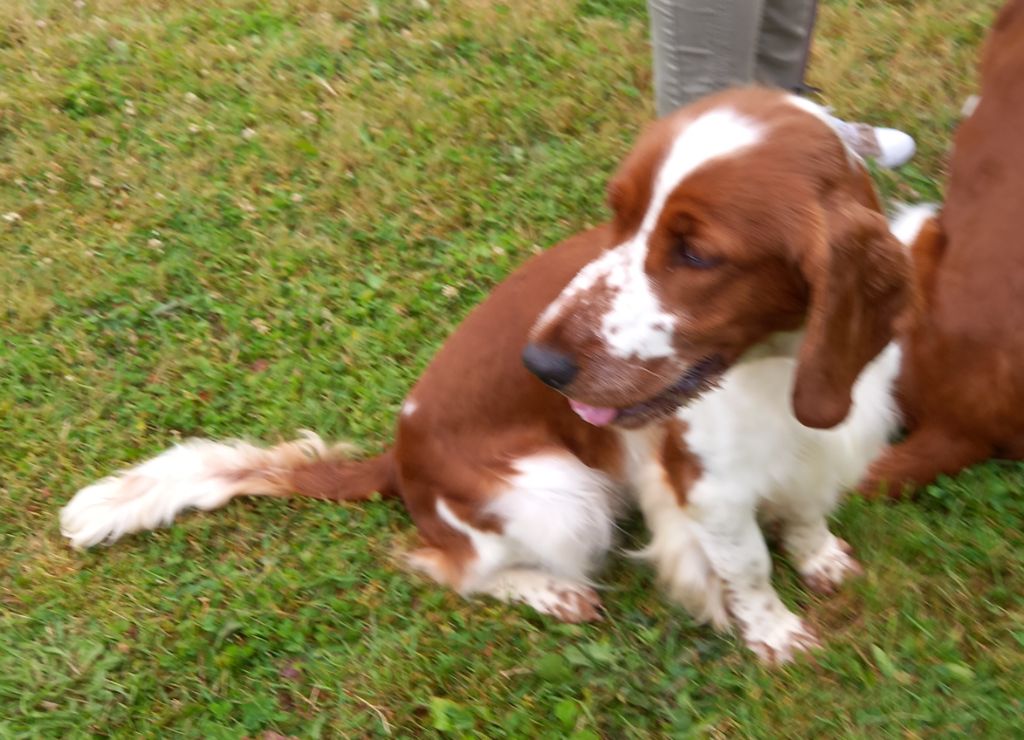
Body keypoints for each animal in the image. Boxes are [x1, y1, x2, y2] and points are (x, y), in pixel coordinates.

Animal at [61, 89, 913, 663]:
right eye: (617, 214)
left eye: (697, 253)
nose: (542, 366)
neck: (773, 366)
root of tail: (398, 458)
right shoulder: (706, 489)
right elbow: (749, 568)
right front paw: (777, 636)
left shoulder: (827, 438)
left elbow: (805, 515)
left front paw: (821, 559)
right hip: (565, 497)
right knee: (450, 565)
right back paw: (552, 590)